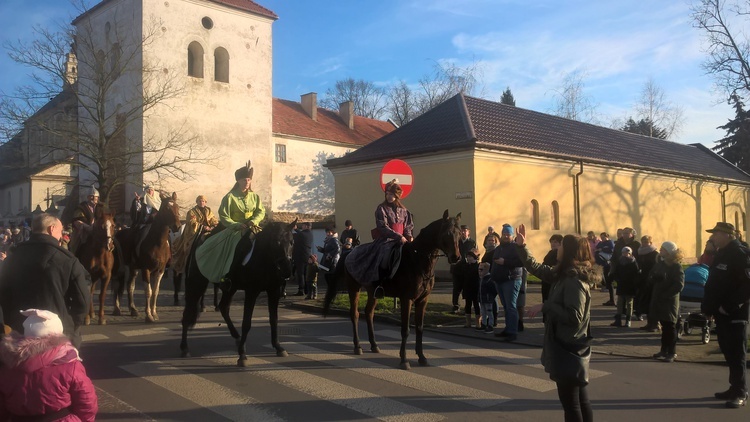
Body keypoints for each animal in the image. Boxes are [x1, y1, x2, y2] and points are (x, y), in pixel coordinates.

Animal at [114, 193, 182, 322]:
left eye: (177, 207)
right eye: (167, 208)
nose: (177, 226)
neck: (157, 243)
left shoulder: (160, 270)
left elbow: (155, 291)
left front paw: (154, 313)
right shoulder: (146, 269)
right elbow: (148, 291)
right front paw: (148, 315)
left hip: (133, 268)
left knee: (130, 286)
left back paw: (133, 309)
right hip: (119, 267)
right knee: (117, 285)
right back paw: (117, 308)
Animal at [181, 221, 296, 366]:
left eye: (292, 242)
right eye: (276, 242)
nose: (287, 270)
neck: (263, 258)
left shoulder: (274, 291)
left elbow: (274, 320)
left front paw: (278, 347)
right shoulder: (252, 292)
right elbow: (246, 323)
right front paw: (242, 355)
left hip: (230, 288)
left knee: (224, 307)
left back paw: (237, 337)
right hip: (196, 283)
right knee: (187, 314)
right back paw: (184, 348)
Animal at [324, 210, 464, 370]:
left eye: (460, 234)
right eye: (447, 233)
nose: (456, 257)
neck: (417, 260)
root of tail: (350, 252)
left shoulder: (423, 300)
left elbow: (420, 328)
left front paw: (422, 357)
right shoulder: (406, 299)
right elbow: (405, 330)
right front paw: (404, 360)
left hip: (373, 292)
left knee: (369, 313)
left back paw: (374, 345)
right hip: (354, 288)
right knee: (355, 314)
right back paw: (357, 346)